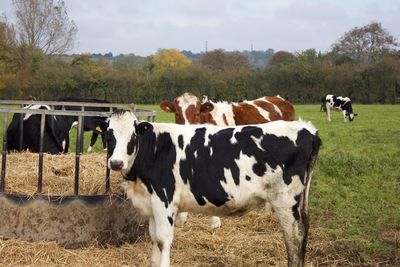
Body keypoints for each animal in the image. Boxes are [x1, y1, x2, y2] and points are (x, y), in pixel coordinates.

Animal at [107, 111, 322, 267]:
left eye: (133, 135)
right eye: (108, 135)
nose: (116, 163)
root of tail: (307, 129)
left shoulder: (164, 201)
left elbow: (162, 240)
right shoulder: (151, 204)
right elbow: (153, 239)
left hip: (286, 200)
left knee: (295, 238)